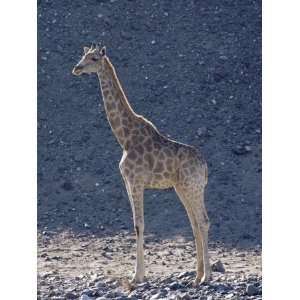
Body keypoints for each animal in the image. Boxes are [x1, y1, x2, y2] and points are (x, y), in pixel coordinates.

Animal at [72, 43, 211, 284]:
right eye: (83, 55)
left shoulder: (136, 181)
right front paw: (136, 274)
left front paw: (138, 276)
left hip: (192, 187)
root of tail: (204, 167)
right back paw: (196, 276)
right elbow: (136, 224)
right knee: (194, 223)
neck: (124, 137)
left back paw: (207, 277)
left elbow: (139, 225)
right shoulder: (128, 182)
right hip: (183, 188)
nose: (76, 68)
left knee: (203, 221)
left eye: (94, 58)